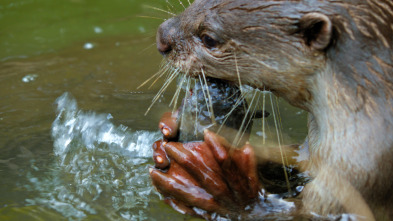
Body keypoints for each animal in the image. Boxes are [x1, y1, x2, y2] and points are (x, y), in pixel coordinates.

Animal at [149, 0, 390, 219]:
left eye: (209, 39)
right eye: (194, 4)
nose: (161, 37)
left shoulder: (365, 168)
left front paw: (218, 182)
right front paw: (166, 135)